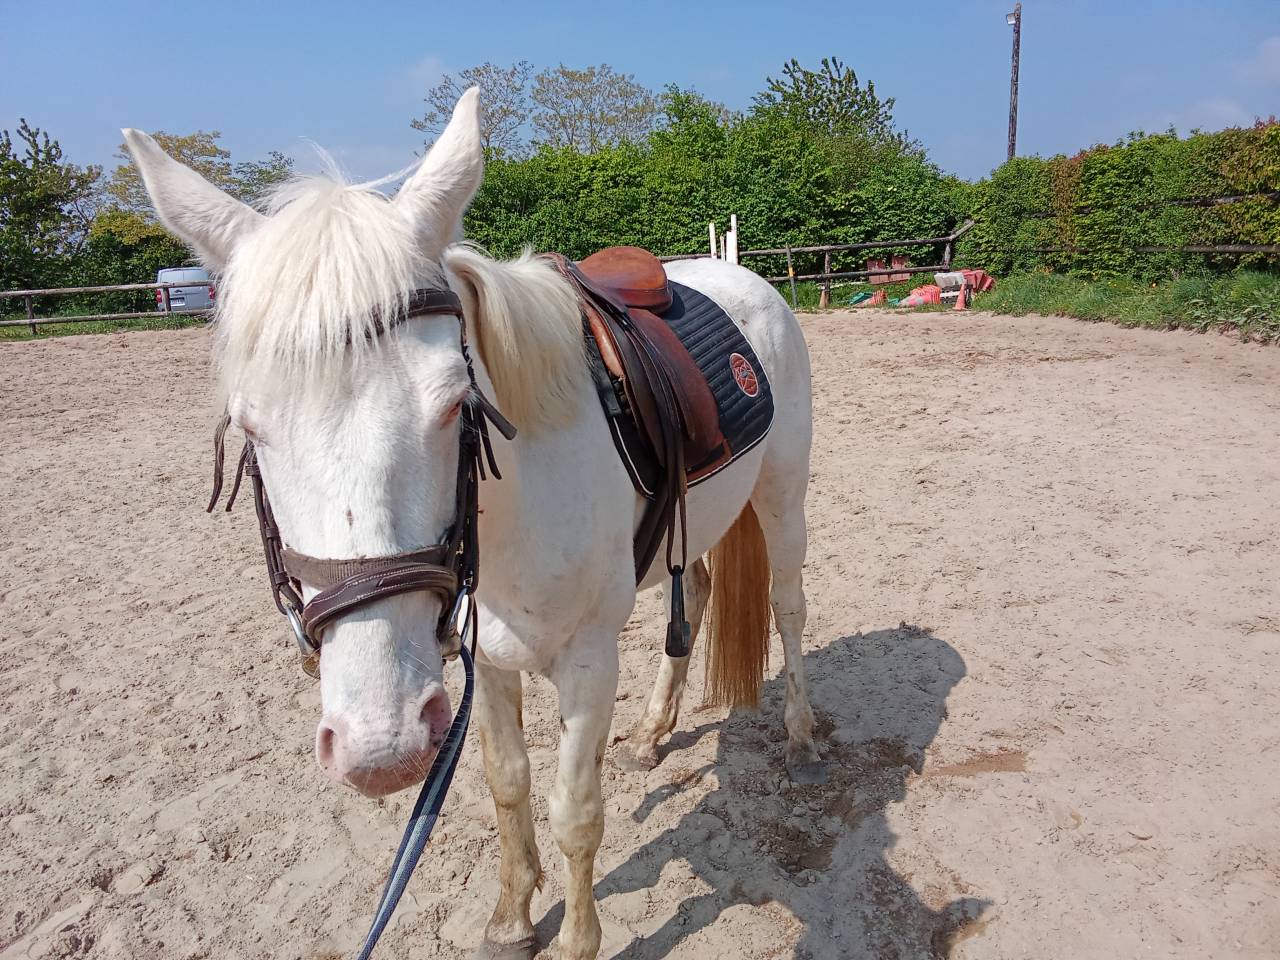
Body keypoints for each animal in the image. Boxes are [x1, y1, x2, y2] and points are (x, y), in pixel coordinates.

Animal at [123, 87, 822, 960]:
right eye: (249, 429)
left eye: (459, 404)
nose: (380, 745)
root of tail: (737, 274)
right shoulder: (481, 655)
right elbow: (507, 783)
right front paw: (513, 918)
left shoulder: (588, 661)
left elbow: (575, 812)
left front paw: (578, 940)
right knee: (690, 599)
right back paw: (653, 732)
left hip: (782, 497)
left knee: (788, 607)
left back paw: (801, 734)